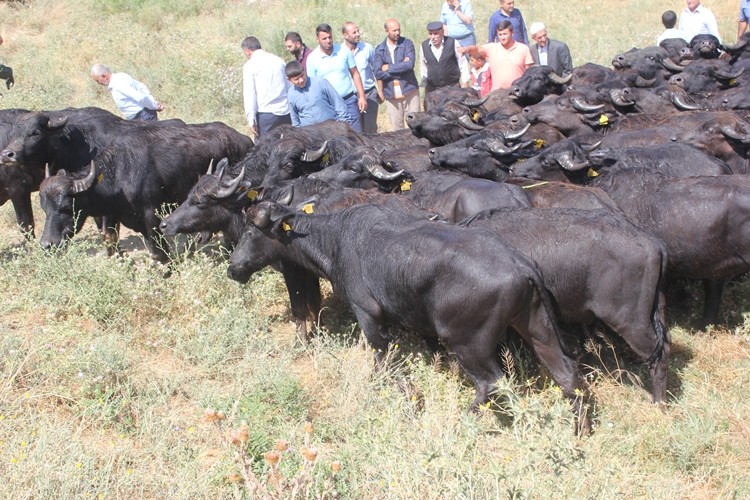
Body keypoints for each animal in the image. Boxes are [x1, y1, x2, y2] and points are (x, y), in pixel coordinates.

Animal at [229, 199, 592, 434]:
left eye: (250, 233)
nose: (234, 269)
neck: (335, 239)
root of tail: (519, 265)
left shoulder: (370, 316)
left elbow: (384, 361)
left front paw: (412, 399)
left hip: (467, 343)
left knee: (490, 383)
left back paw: (460, 424)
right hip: (538, 327)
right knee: (566, 373)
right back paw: (580, 429)